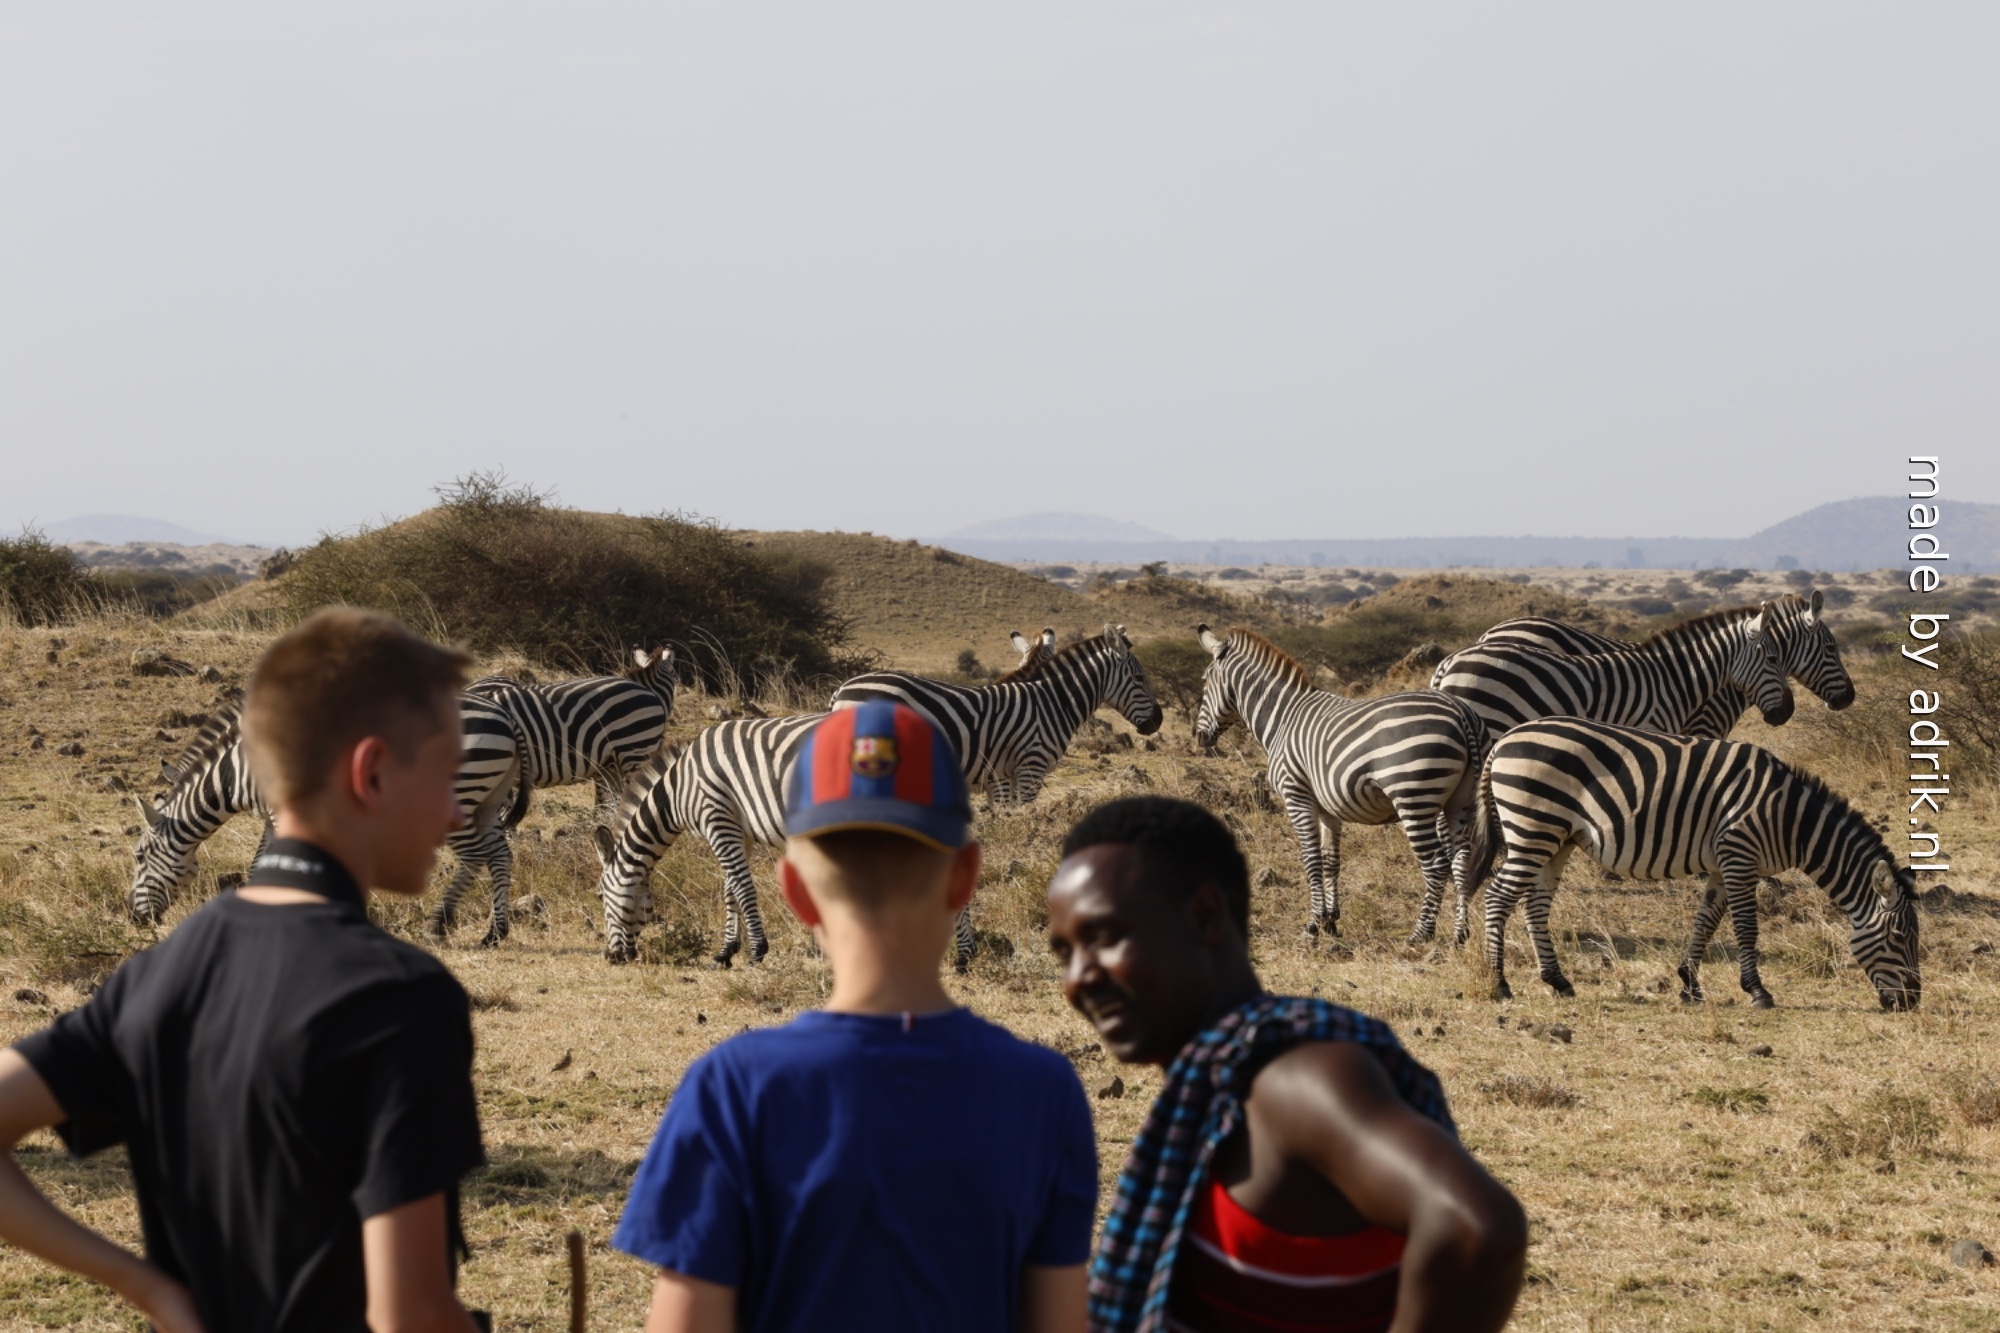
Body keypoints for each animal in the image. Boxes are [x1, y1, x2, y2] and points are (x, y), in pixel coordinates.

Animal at [129, 694, 530, 946]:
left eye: (139, 856)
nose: (134, 918)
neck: (238, 771)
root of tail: (505, 715)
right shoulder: (274, 816)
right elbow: (260, 864)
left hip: (457, 792)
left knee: (475, 856)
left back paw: (440, 925)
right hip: (488, 798)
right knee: (500, 854)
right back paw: (496, 933)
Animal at [591, 712, 821, 967]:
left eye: (600, 896)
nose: (610, 956)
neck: (676, 792)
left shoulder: (717, 820)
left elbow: (742, 887)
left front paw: (757, 951)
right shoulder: (740, 831)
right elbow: (730, 888)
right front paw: (726, 951)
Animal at [828, 624, 1164, 805]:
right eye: (1139, 678)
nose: (1158, 720)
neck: (1053, 701)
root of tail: (842, 690)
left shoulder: (1003, 773)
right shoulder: (1029, 767)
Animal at [1193, 626, 1491, 943]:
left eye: (1204, 681)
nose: (1198, 737)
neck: (1282, 718)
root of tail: (1462, 712)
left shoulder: (1296, 796)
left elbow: (1311, 860)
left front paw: (1312, 926)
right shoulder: (1328, 808)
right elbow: (1330, 861)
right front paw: (1330, 921)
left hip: (1414, 798)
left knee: (1436, 864)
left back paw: (1421, 934)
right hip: (1460, 802)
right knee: (1461, 861)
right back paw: (1460, 934)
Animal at [1462, 717, 1920, 1010]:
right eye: (1899, 937)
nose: (1911, 1002)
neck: (1792, 820)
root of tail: (1503, 741)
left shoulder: (1722, 863)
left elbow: (1706, 922)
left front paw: (1689, 985)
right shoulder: (1740, 854)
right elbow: (1746, 928)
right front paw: (1758, 992)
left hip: (1556, 839)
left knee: (1534, 905)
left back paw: (1557, 981)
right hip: (1532, 827)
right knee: (1498, 897)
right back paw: (1499, 982)